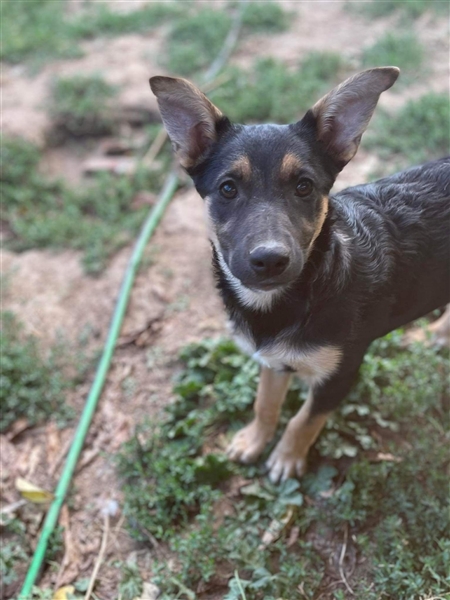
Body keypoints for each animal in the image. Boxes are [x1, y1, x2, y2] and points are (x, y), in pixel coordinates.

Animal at [150, 67, 450, 483]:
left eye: (304, 186)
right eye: (228, 188)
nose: (269, 260)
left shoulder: (341, 373)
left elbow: (304, 420)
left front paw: (286, 459)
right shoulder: (271, 359)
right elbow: (265, 403)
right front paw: (254, 441)